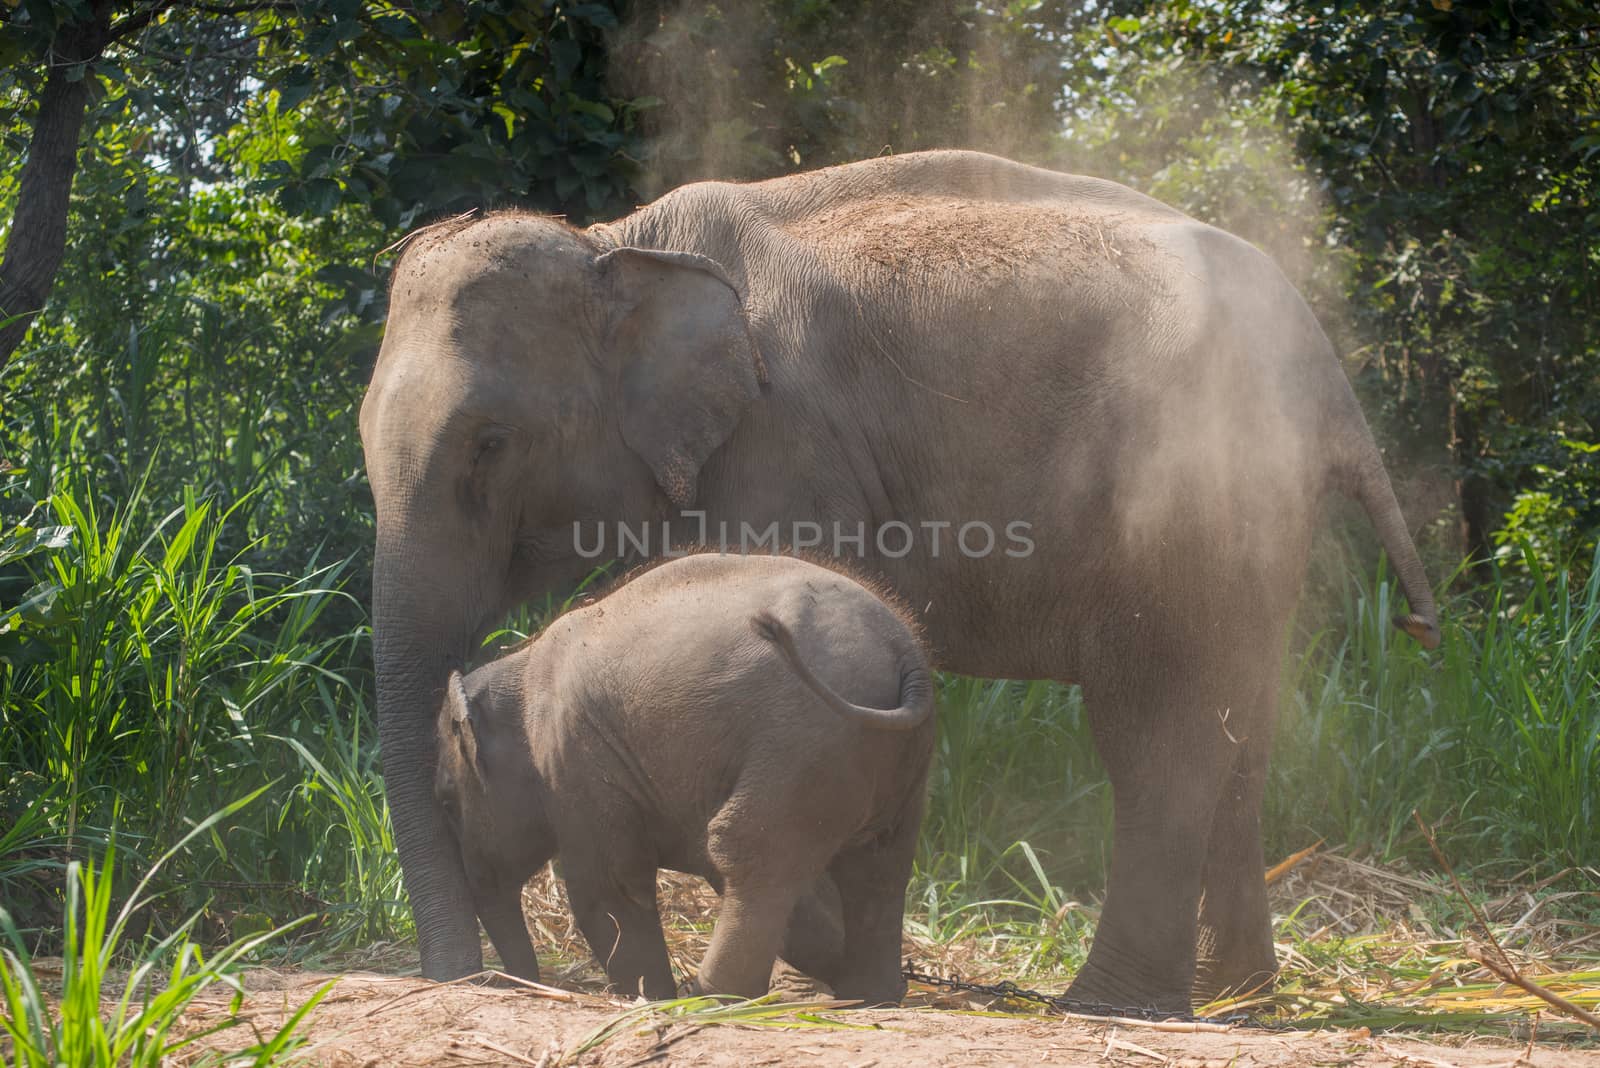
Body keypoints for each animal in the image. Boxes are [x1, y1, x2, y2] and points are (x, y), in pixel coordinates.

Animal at [438, 549, 934, 1004]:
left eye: (446, 802)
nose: (518, 981)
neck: (520, 670)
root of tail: (906, 656)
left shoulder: (575, 759)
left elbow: (606, 885)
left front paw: (649, 997)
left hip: (802, 740)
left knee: (748, 847)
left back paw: (713, 997)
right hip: (882, 762)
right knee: (880, 864)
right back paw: (872, 994)